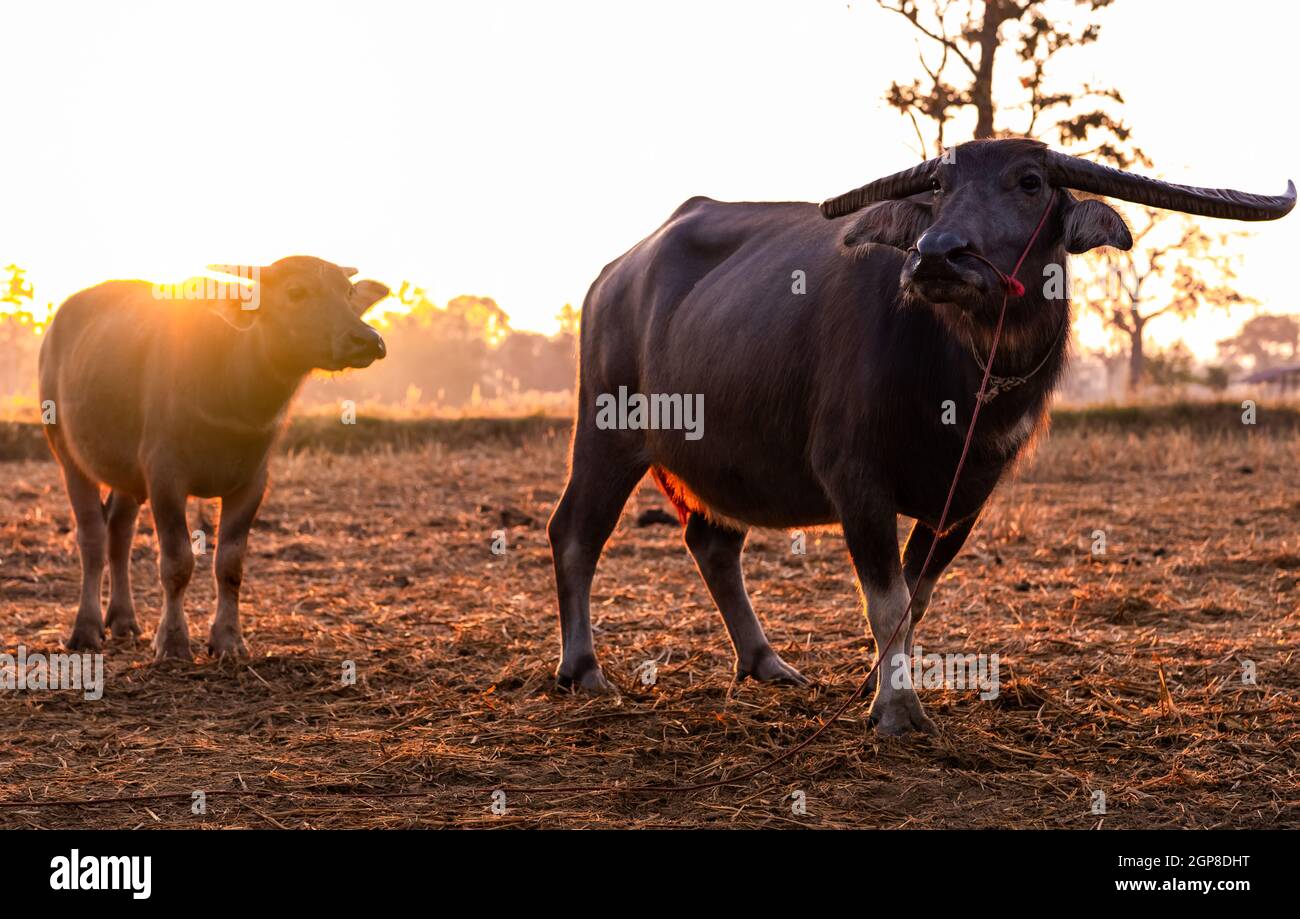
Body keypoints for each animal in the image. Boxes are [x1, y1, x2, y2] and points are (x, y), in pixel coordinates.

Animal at [38, 258, 387, 660]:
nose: (369, 339)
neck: (231, 391)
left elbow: (230, 564)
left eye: (348, 292)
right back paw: (86, 628)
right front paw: (173, 641)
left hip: (125, 472)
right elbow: (177, 561)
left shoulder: (252, 482)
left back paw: (124, 620)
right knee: (92, 537)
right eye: (296, 292)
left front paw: (228, 640)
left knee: (119, 532)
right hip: (66, 453)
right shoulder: (164, 477)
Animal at [548, 140, 1289, 738]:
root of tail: (615, 274)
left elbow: (916, 596)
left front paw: (880, 686)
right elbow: (886, 600)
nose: (937, 255)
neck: (959, 374)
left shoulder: (967, 497)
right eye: (939, 184)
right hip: (606, 431)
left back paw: (765, 663)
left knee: (713, 542)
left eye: (1030, 181)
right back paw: (583, 668)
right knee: (575, 531)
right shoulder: (856, 481)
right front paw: (898, 710)